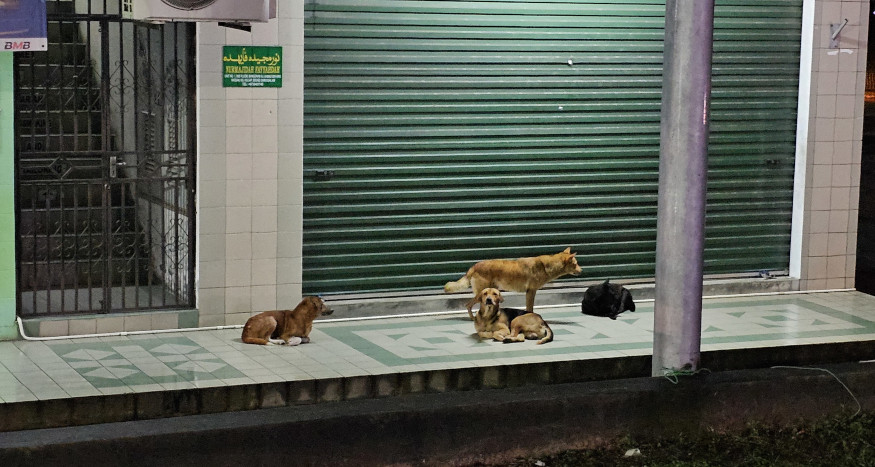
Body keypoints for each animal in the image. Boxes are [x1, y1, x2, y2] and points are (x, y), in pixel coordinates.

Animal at [444, 247, 580, 316]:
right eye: (575, 264)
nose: (582, 270)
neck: (546, 266)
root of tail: (474, 266)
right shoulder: (531, 291)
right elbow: (530, 308)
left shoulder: (530, 292)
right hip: (481, 294)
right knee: (468, 305)